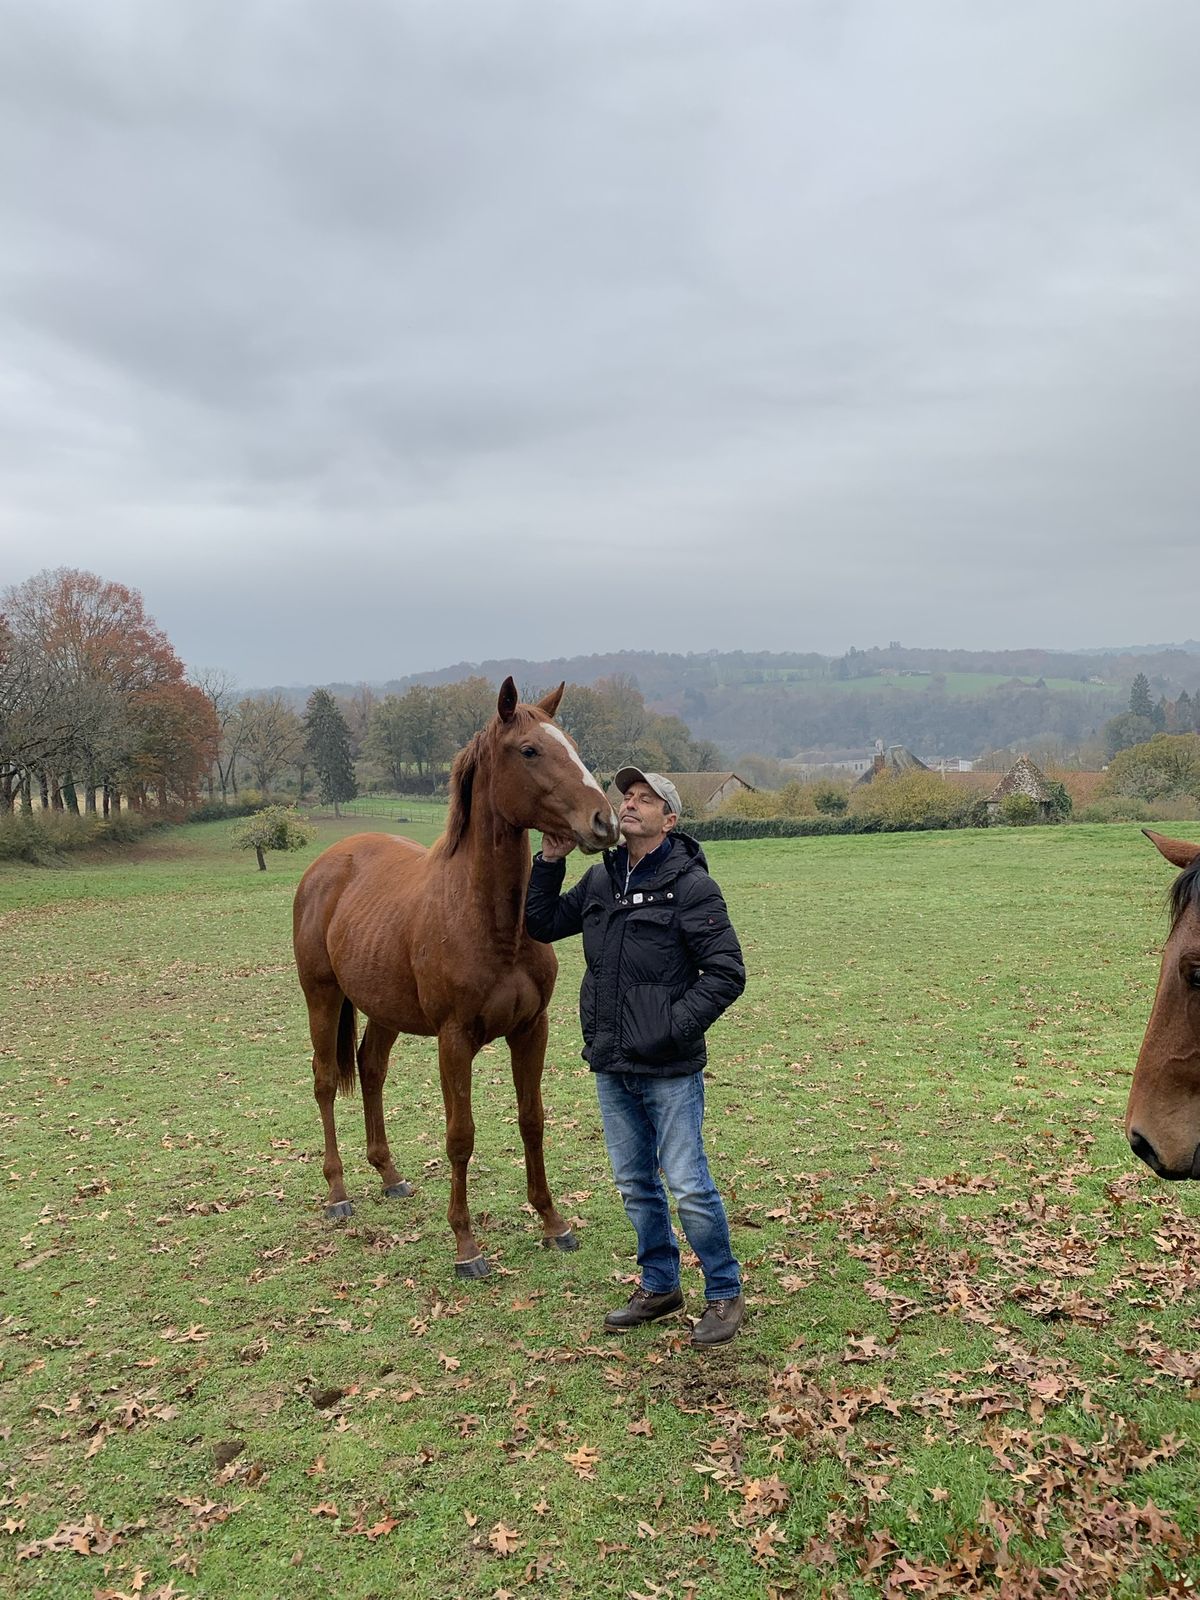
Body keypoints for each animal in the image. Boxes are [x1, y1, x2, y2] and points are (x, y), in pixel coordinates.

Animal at [292, 678, 619, 1276]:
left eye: (573, 744)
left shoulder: (531, 1030)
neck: (490, 921)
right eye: (530, 750)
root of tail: (328, 864)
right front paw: (466, 1244)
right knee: (325, 1081)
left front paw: (552, 1222)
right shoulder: (454, 1040)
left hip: (384, 1010)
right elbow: (460, 1137)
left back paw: (390, 1175)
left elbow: (532, 1119)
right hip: (321, 998)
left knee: (371, 1070)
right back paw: (338, 1194)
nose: (603, 821)